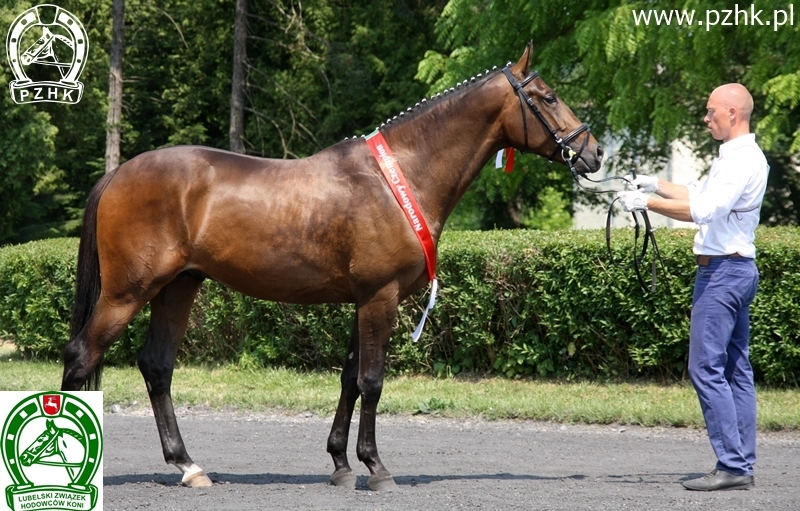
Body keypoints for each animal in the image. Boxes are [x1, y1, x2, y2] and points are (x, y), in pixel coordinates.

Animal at [61, 44, 600, 492]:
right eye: (548, 97)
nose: (593, 152)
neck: (399, 177)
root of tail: (117, 174)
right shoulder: (380, 297)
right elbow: (372, 381)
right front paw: (376, 468)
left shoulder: (364, 299)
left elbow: (349, 378)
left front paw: (341, 464)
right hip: (128, 292)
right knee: (81, 354)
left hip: (177, 287)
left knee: (157, 366)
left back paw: (189, 466)